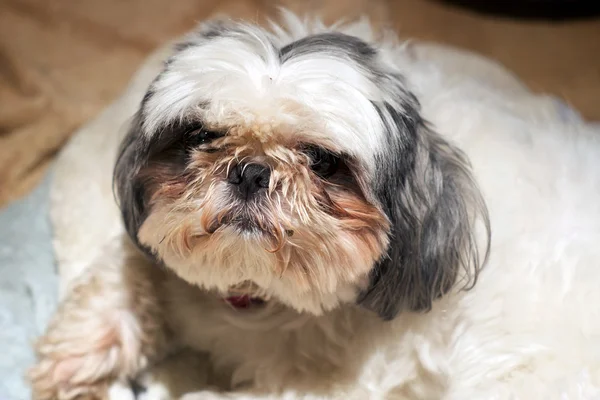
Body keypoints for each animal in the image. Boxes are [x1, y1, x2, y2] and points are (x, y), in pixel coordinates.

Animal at [30, 9, 600, 400]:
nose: (251, 169)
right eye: (200, 136)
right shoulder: (158, 249)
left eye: (322, 161)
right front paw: (79, 355)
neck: (257, 300)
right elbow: (130, 268)